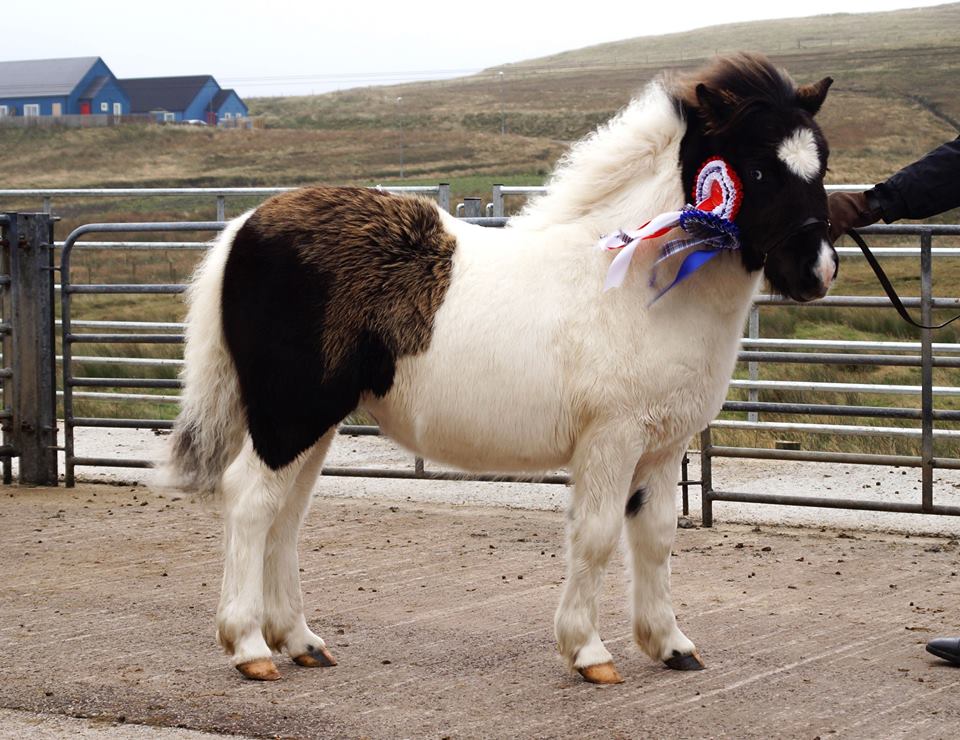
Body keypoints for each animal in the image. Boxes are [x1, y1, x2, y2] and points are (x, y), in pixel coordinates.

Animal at [161, 52, 837, 684]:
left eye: (821, 165)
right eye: (758, 168)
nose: (818, 269)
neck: (632, 281)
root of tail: (244, 226)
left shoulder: (664, 447)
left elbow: (657, 538)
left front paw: (671, 645)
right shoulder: (611, 440)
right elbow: (596, 535)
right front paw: (589, 652)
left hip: (314, 423)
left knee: (287, 516)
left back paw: (301, 641)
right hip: (290, 417)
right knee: (251, 502)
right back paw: (250, 648)